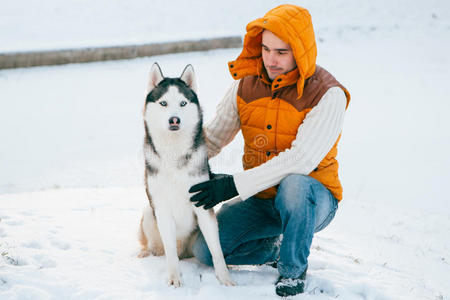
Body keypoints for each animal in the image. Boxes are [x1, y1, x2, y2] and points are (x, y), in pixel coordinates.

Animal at [138, 63, 236, 288]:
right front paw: (174, 277)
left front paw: (225, 278)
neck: (174, 154)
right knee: (160, 248)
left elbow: (216, 250)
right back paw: (147, 252)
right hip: (148, 212)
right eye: (164, 103)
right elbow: (170, 253)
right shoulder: (162, 208)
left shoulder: (203, 203)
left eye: (182, 103)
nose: (174, 119)